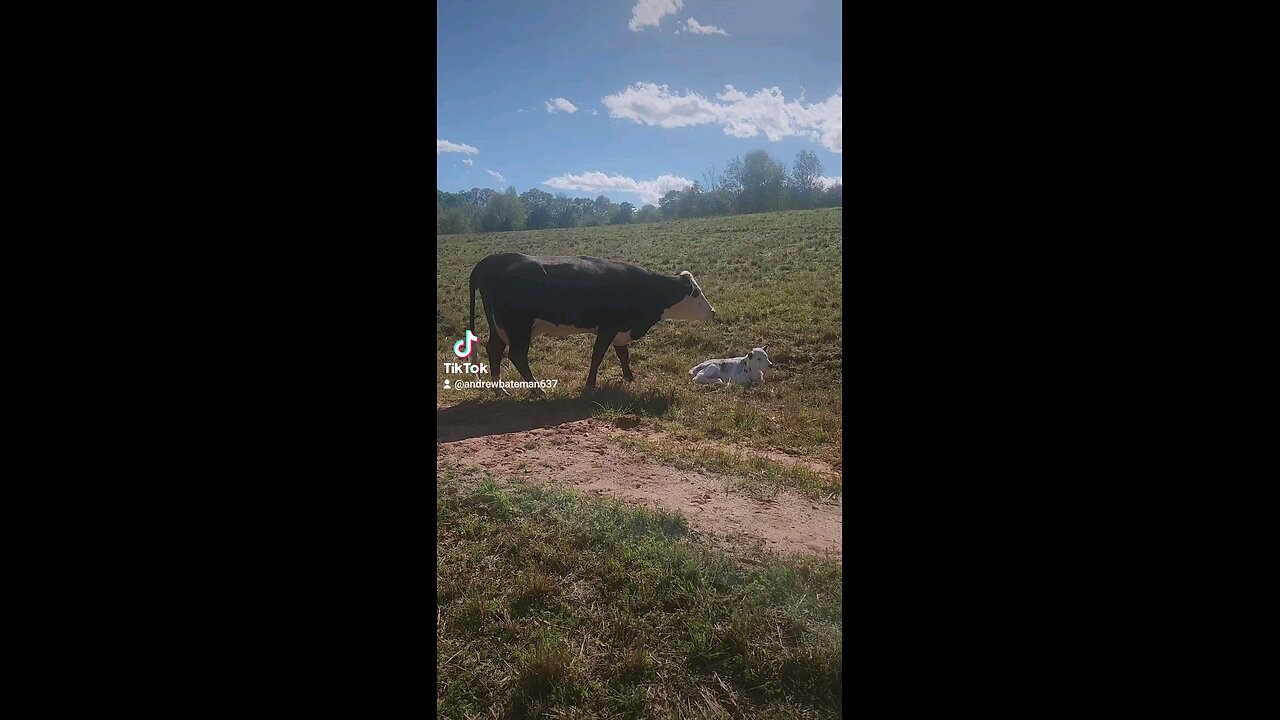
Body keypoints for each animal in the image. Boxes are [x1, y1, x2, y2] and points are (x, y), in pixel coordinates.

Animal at [468, 252, 716, 394]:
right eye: (697, 293)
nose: (713, 312)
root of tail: (489, 262)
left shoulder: (620, 330)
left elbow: (623, 354)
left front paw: (629, 378)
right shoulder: (608, 327)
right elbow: (598, 355)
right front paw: (590, 385)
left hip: (500, 328)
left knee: (494, 350)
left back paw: (499, 390)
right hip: (517, 327)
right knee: (517, 355)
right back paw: (537, 390)